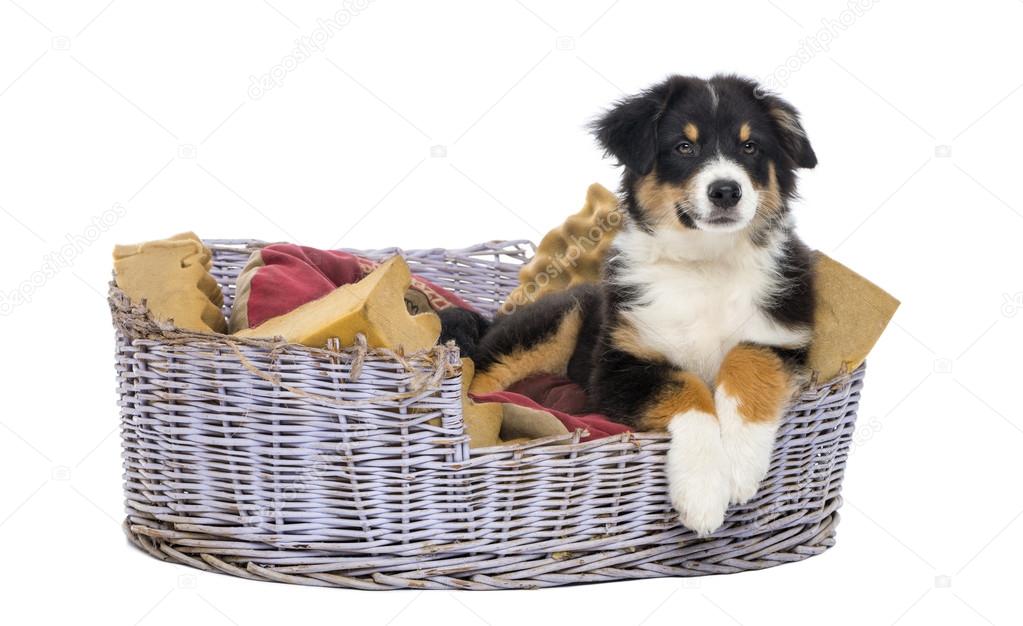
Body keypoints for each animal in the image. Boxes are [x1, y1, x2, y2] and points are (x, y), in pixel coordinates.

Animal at [468, 72, 814, 531]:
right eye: (684, 147)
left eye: (750, 146)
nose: (726, 191)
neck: (706, 263)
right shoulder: (618, 367)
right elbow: (686, 388)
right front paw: (703, 492)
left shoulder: (783, 341)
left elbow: (747, 362)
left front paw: (741, 463)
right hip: (556, 319)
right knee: (481, 376)